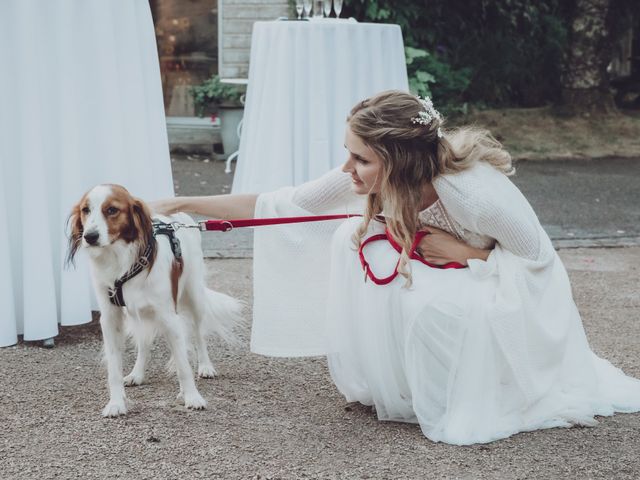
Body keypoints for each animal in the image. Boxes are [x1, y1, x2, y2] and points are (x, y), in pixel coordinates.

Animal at [67, 184, 242, 416]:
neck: (122, 263)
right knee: (144, 343)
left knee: (198, 334)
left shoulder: (169, 317)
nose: (90, 236)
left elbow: (184, 366)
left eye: (112, 210)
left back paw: (205, 366)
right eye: (86, 210)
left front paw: (192, 397)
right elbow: (114, 368)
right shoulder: (111, 318)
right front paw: (116, 403)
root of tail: (180, 215)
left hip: (194, 296)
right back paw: (137, 373)